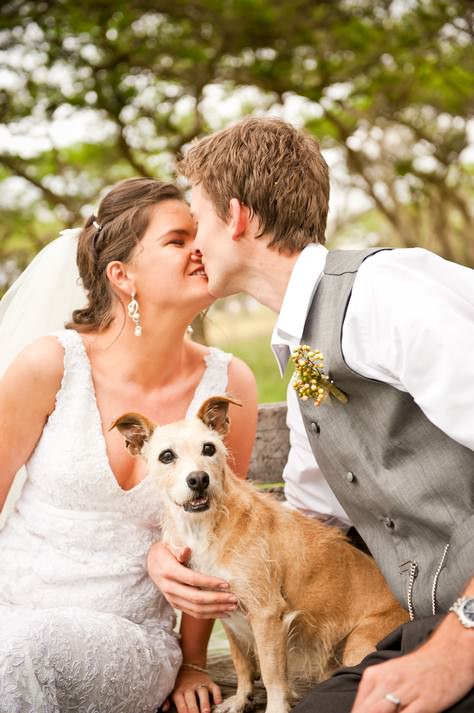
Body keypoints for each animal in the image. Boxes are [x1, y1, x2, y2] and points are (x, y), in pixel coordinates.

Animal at [113, 394, 410, 712]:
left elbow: (271, 674)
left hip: (360, 644)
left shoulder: (267, 615)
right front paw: (241, 698)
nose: (199, 479)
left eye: (209, 448)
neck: (207, 528)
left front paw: (276, 706)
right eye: (166, 456)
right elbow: (242, 663)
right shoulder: (226, 615)